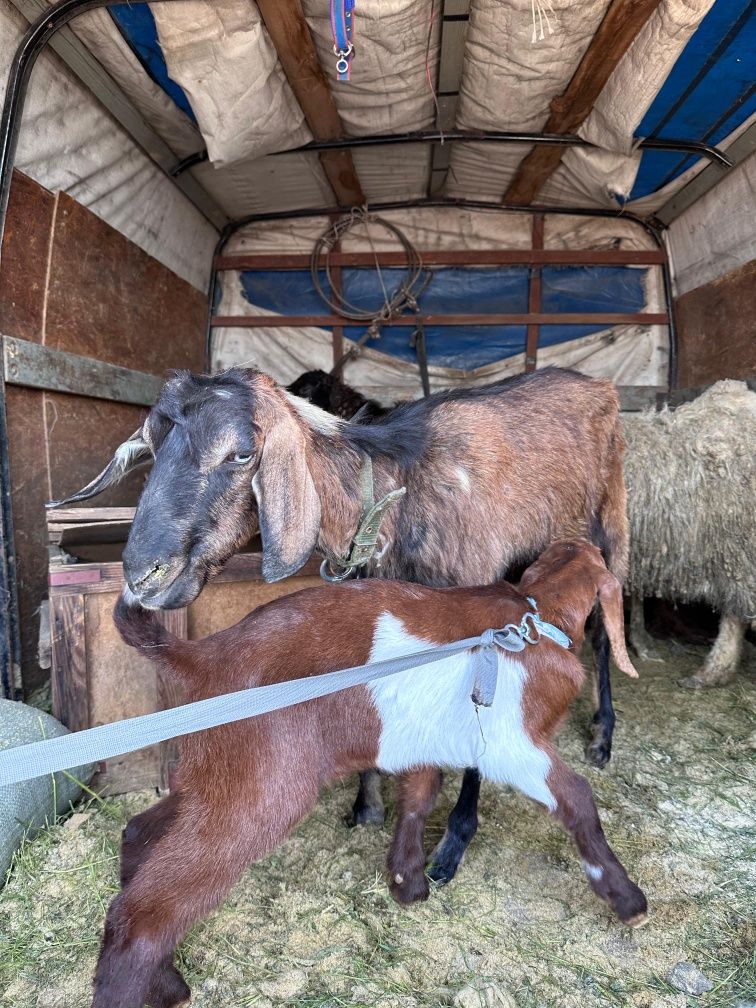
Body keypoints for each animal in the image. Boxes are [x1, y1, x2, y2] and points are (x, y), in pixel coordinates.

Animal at [53, 366, 628, 887]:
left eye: (241, 453)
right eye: (151, 448)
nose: (143, 575)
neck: (397, 496)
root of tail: (598, 385)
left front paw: (452, 844)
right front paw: (368, 804)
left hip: (610, 529)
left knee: (604, 631)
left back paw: (603, 736)